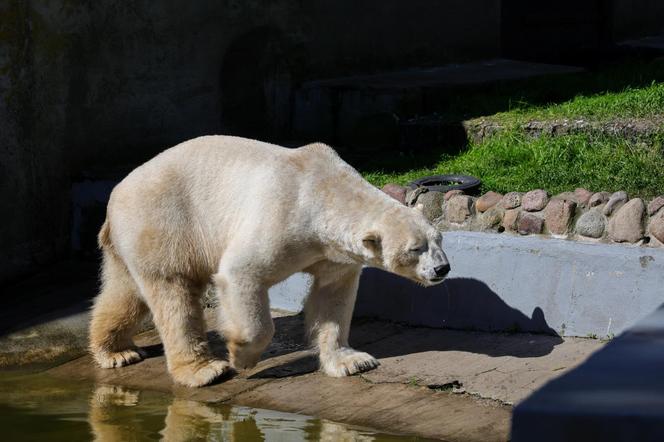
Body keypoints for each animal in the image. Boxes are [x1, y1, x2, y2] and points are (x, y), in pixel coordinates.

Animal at [88, 136, 452, 386]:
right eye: (415, 248)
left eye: (439, 240)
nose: (442, 268)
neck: (322, 191)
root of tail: (114, 196)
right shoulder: (282, 214)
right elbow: (240, 274)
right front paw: (242, 356)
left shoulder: (332, 253)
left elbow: (333, 296)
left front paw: (352, 361)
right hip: (164, 222)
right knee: (172, 293)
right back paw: (205, 370)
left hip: (135, 239)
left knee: (126, 293)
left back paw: (116, 352)